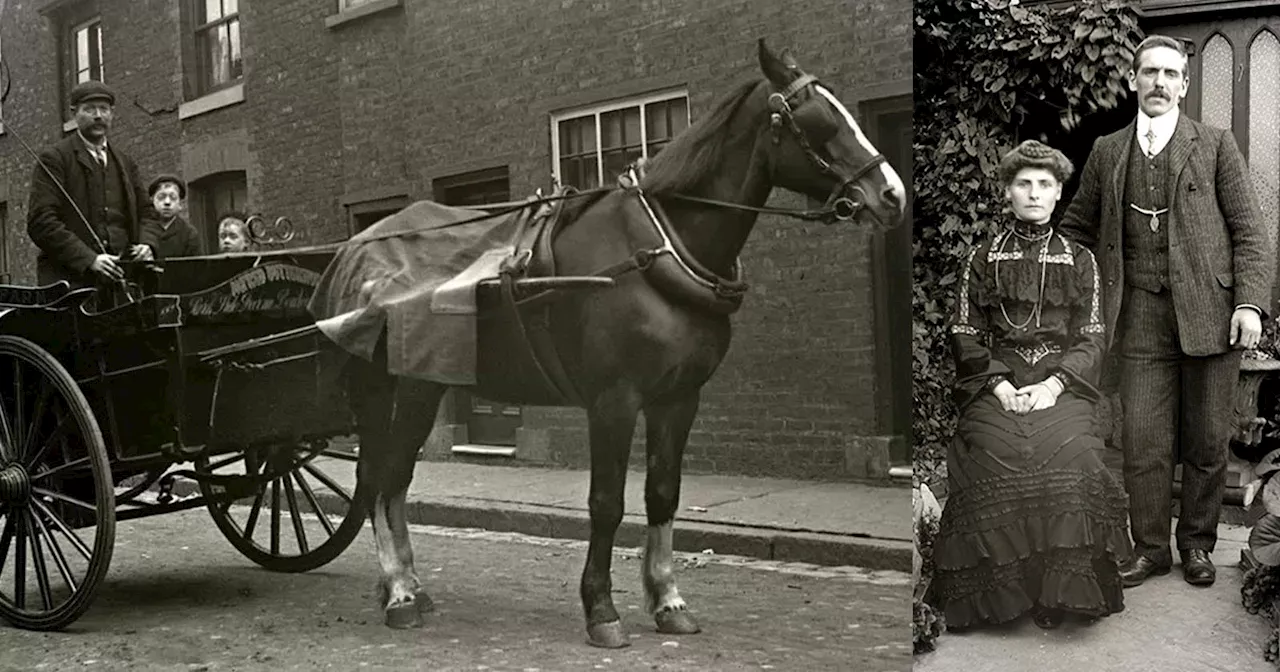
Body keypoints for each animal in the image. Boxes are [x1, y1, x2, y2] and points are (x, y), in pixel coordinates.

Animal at [340, 39, 901, 647]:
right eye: (818, 119)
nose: (891, 193)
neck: (656, 251)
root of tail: (362, 244)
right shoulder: (614, 399)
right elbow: (606, 502)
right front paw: (601, 609)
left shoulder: (678, 398)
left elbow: (663, 493)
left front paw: (668, 599)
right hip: (410, 387)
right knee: (386, 478)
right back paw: (400, 591)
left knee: (389, 479)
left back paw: (407, 586)